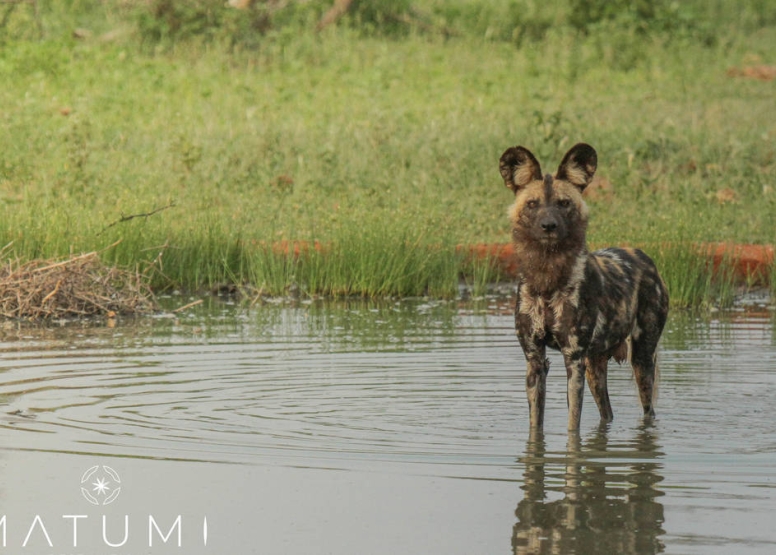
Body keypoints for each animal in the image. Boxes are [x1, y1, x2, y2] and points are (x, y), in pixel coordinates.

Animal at [500, 143, 668, 430]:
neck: (547, 279)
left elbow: (572, 426)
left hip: (642, 361)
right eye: (532, 204)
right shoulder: (535, 360)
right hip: (595, 367)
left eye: (564, 203)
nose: (548, 226)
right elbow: (536, 426)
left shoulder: (573, 359)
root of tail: (643, 256)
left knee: (649, 411)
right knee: (607, 412)